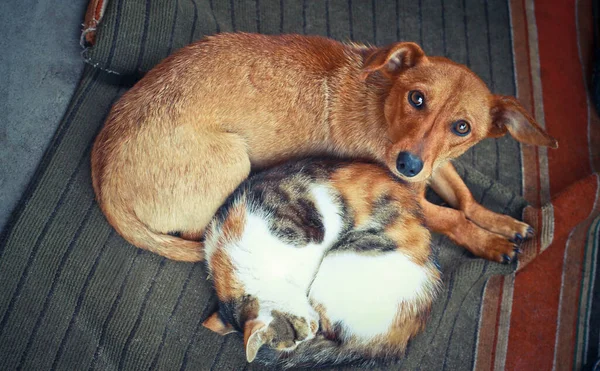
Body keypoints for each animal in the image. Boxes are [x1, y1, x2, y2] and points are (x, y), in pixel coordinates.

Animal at [90, 32, 556, 264]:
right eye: (417, 98)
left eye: (462, 127)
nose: (406, 164)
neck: (381, 101)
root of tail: (104, 180)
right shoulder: (409, 195)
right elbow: (452, 217)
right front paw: (489, 243)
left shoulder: (435, 167)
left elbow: (466, 197)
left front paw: (503, 223)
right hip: (234, 160)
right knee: (197, 231)